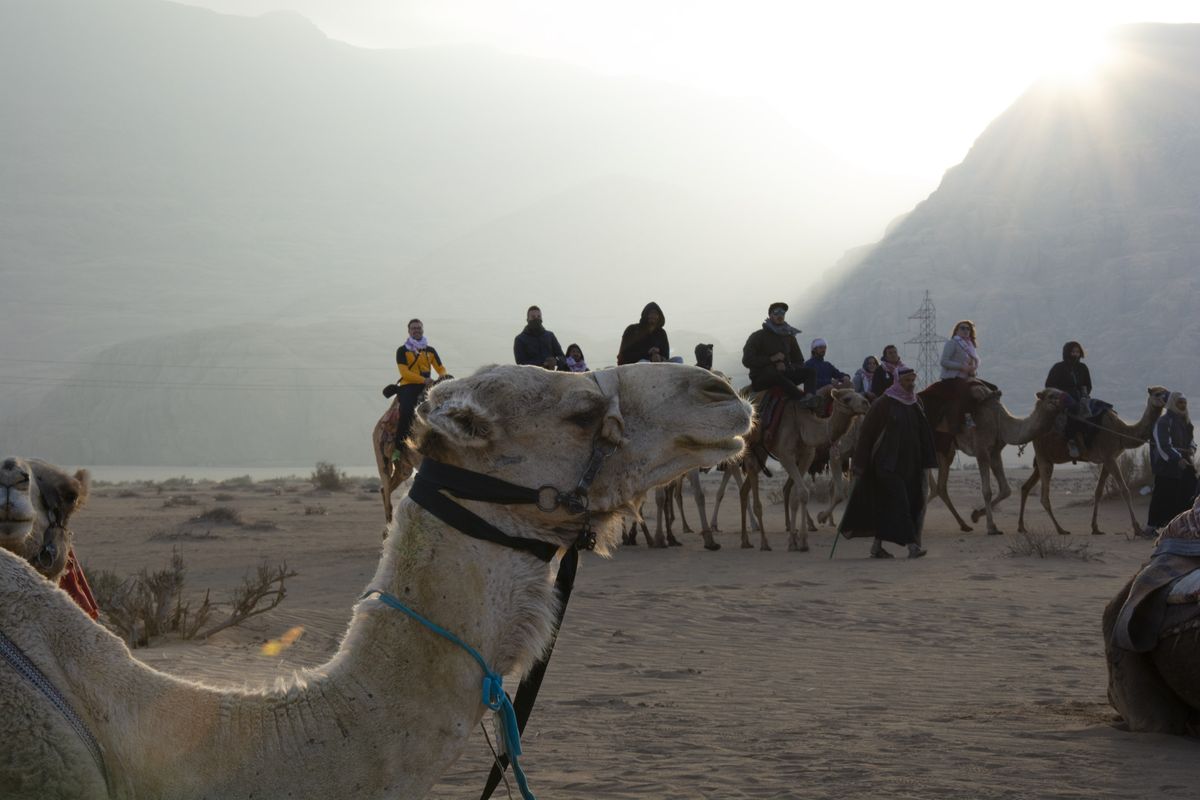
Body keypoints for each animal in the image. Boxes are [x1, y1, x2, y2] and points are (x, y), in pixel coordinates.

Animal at [739, 388, 870, 552]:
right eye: (847, 399)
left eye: (859, 394)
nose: (866, 403)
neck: (802, 424)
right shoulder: (787, 456)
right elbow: (806, 492)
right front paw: (818, 520)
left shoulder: (807, 456)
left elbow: (799, 494)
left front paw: (799, 541)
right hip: (750, 447)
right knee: (754, 487)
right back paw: (764, 542)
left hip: (762, 451)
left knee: (746, 490)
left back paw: (746, 540)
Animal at [925, 387, 1070, 535]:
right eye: (1051, 395)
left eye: (1059, 391)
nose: (1067, 399)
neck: (1001, 422)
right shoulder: (981, 450)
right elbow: (987, 491)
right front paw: (991, 527)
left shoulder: (995, 452)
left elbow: (1006, 489)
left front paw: (975, 515)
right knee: (937, 486)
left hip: (944, 451)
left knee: (939, 487)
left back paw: (964, 525)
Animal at [1018, 387, 1168, 536]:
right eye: (1157, 394)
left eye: (1166, 391)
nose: (1167, 400)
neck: (1122, 432)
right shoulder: (1109, 457)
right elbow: (1125, 490)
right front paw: (1137, 529)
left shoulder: (1108, 459)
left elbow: (1098, 492)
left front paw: (1095, 528)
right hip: (1044, 458)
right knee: (1044, 497)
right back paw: (1060, 529)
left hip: (1045, 459)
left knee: (1025, 487)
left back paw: (1022, 527)